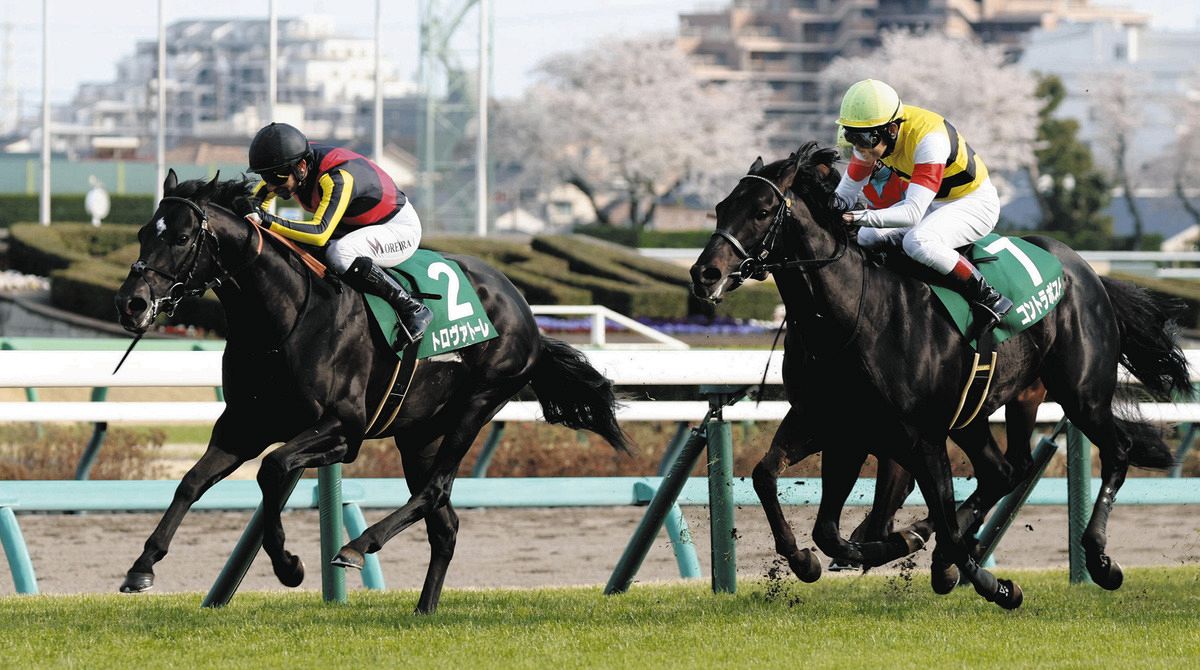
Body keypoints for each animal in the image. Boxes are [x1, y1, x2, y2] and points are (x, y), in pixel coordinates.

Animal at [113, 170, 630, 613]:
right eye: (142, 233)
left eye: (181, 238)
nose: (131, 303)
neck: (286, 316)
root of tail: (526, 313)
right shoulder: (244, 424)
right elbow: (192, 482)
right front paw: (142, 567)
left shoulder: (344, 430)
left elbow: (273, 469)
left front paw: (290, 566)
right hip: (420, 434)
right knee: (445, 523)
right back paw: (423, 608)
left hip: (478, 402)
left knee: (435, 491)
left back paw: (357, 547)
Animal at [690, 143, 1189, 608]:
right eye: (721, 207)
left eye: (762, 211)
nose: (705, 273)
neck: (853, 315)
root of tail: (1085, 269)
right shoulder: (833, 424)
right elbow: (784, 492)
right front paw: (807, 558)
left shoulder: (919, 437)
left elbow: (912, 524)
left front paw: (994, 585)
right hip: (992, 407)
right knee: (1005, 471)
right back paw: (934, 547)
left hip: (1081, 392)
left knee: (1115, 450)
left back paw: (1099, 558)